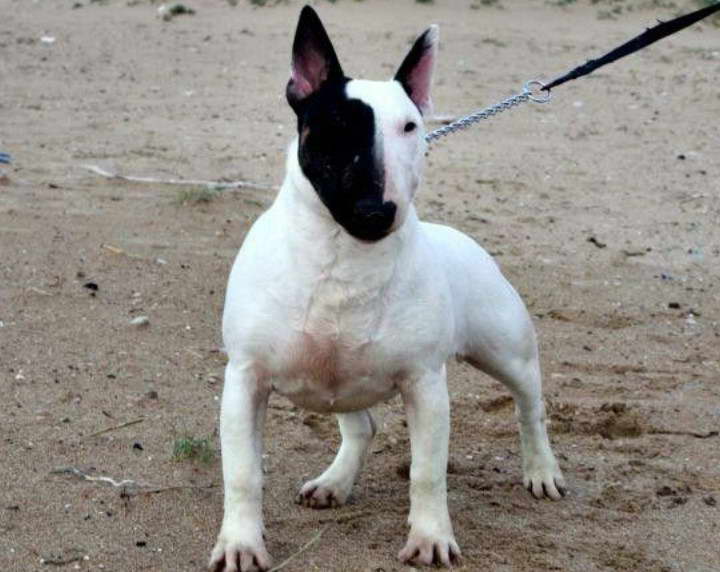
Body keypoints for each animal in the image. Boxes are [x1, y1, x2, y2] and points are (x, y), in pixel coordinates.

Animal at [211, 5, 564, 572]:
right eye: (335, 126)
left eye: (410, 127)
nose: (377, 212)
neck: (344, 254)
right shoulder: (245, 380)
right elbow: (243, 473)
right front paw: (241, 543)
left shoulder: (426, 386)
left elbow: (427, 471)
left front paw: (431, 537)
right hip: (344, 374)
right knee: (362, 428)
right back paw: (334, 483)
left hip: (507, 350)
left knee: (530, 407)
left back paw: (541, 470)